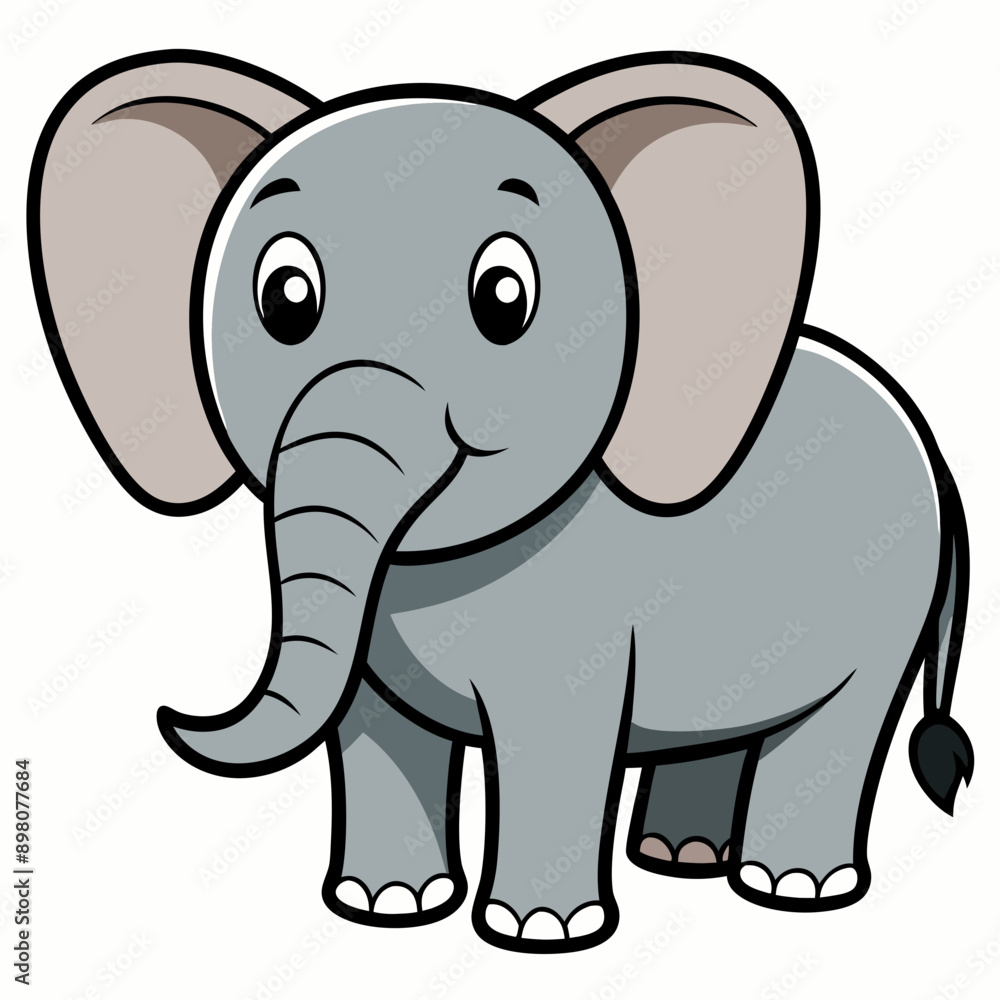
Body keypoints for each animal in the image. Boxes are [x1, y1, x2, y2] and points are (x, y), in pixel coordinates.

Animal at [29, 48, 974, 954]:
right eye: (285, 298)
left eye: (505, 299)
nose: (169, 716)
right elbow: (375, 730)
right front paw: (386, 908)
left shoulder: (573, 626)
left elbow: (553, 737)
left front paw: (540, 934)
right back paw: (680, 858)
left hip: (889, 596)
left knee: (840, 724)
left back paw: (793, 888)